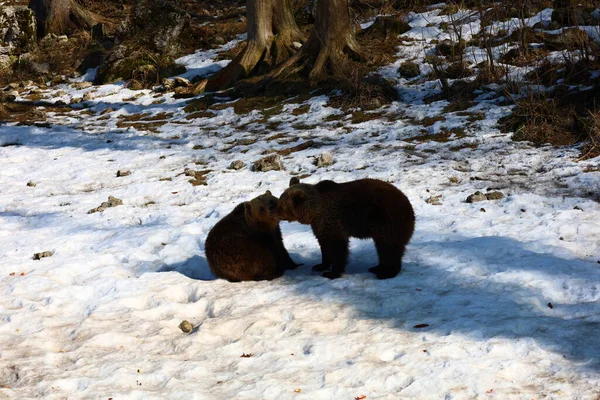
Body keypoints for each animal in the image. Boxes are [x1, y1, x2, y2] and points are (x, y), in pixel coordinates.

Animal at [278, 177, 414, 280]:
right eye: (280, 200)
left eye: (281, 205)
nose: (275, 211)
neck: (315, 212)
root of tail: (408, 205)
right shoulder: (320, 226)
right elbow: (324, 245)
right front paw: (320, 266)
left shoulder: (333, 221)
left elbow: (337, 248)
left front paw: (332, 273)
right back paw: (377, 268)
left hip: (386, 220)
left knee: (388, 248)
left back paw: (387, 273)